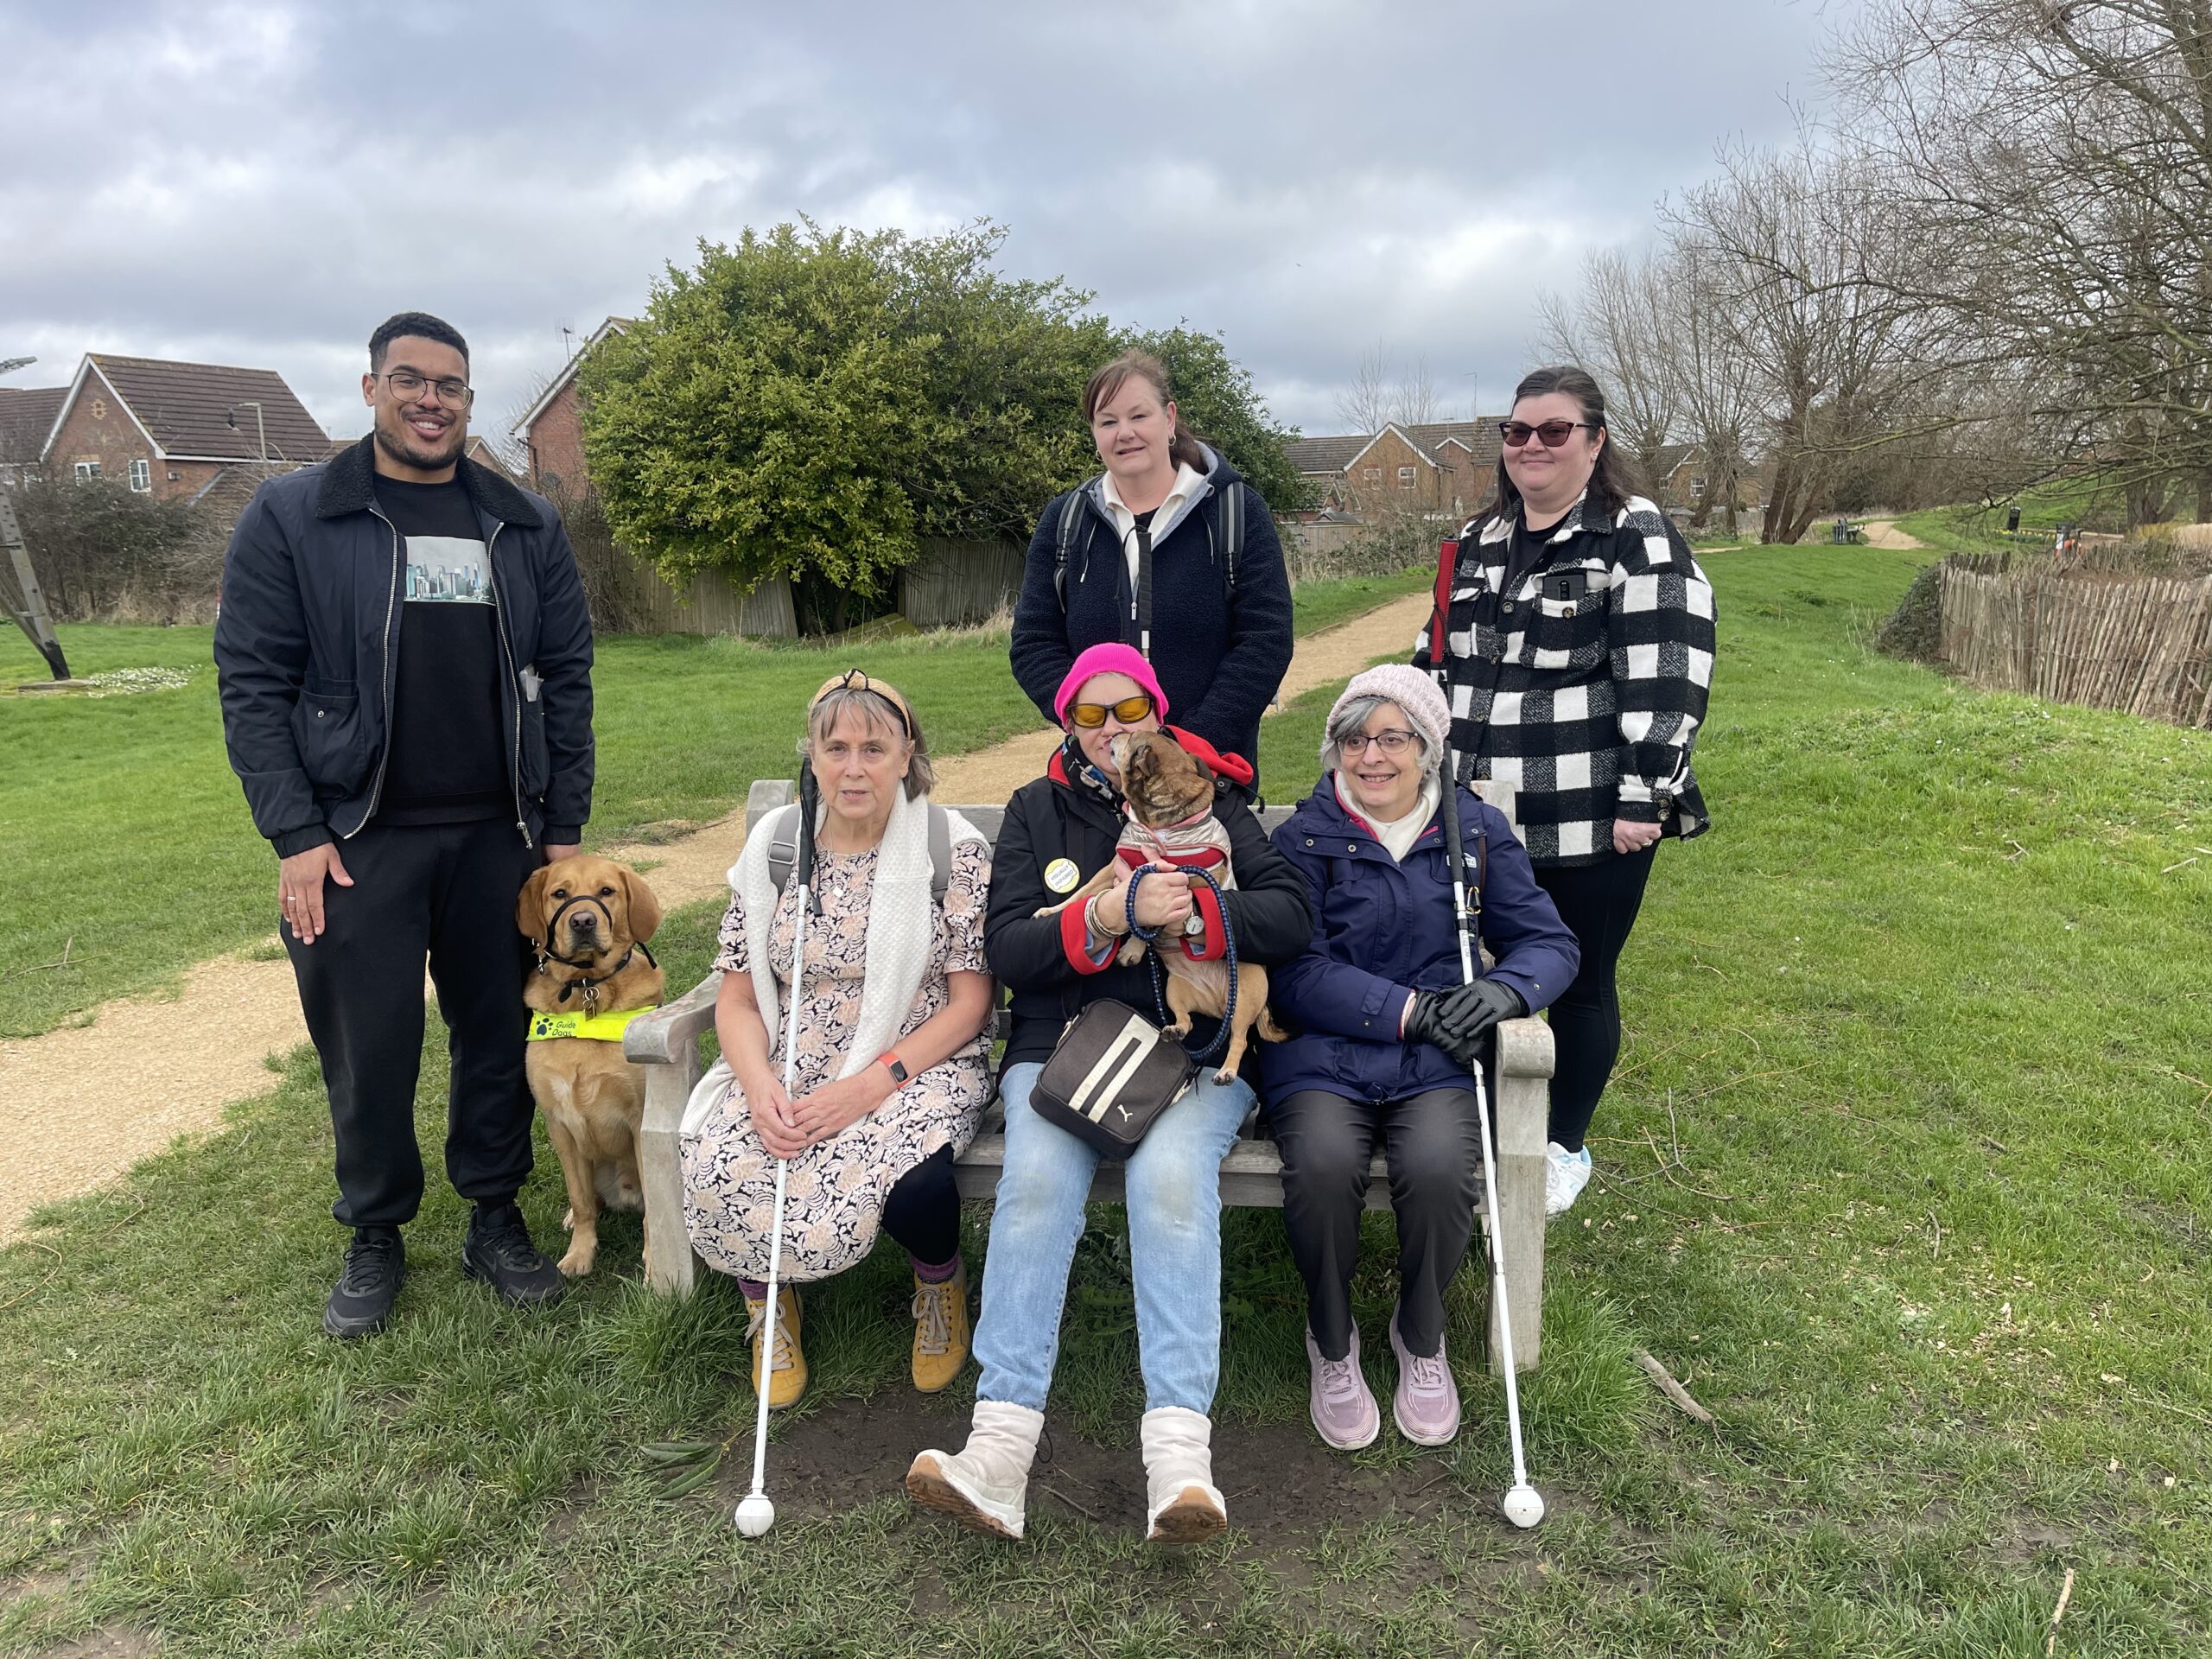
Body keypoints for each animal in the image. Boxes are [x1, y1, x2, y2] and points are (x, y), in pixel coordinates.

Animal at [515, 858, 664, 1282]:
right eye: (559, 893)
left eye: (606, 891)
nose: (582, 922)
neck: (587, 991)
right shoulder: (560, 1125)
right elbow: (580, 1201)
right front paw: (580, 1253)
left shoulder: (639, 1119)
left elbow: (655, 1215)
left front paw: (654, 1265)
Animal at [1039, 734, 1292, 1084]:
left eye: (1129, 739)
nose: (1115, 734)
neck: (1160, 828)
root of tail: (1217, 1004)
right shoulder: (1117, 866)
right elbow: (1085, 892)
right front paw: (1053, 912)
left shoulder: (1181, 882)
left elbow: (1142, 920)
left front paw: (1132, 947)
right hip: (1175, 991)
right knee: (1188, 1021)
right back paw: (1174, 1030)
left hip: (1244, 996)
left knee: (1239, 1038)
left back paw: (1227, 1070)